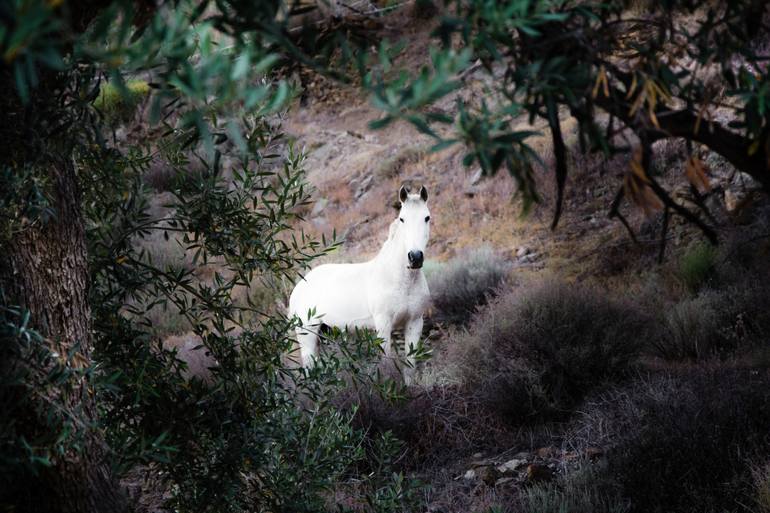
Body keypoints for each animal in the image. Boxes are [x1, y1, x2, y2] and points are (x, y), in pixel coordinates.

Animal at [288, 184, 432, 376]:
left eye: (427, 217)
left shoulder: (414, 323)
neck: (401, 280)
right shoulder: (383, 325)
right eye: (402, 219)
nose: (415, 257)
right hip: (308, 335)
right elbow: (386, 364)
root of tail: (299, 286)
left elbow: (409, 368)